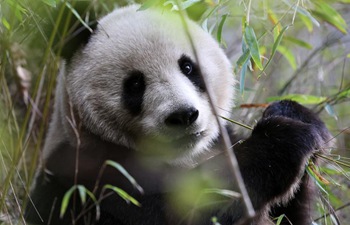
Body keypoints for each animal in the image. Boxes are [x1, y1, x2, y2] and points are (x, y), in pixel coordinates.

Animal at [24, 3, 330, 225]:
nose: (183, 115)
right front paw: (283, 141)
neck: (183, 157)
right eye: (135, 84)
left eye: (188, 67)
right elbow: (185, 207)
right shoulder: (86, 177)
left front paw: (293, 115)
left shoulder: (221, 140)